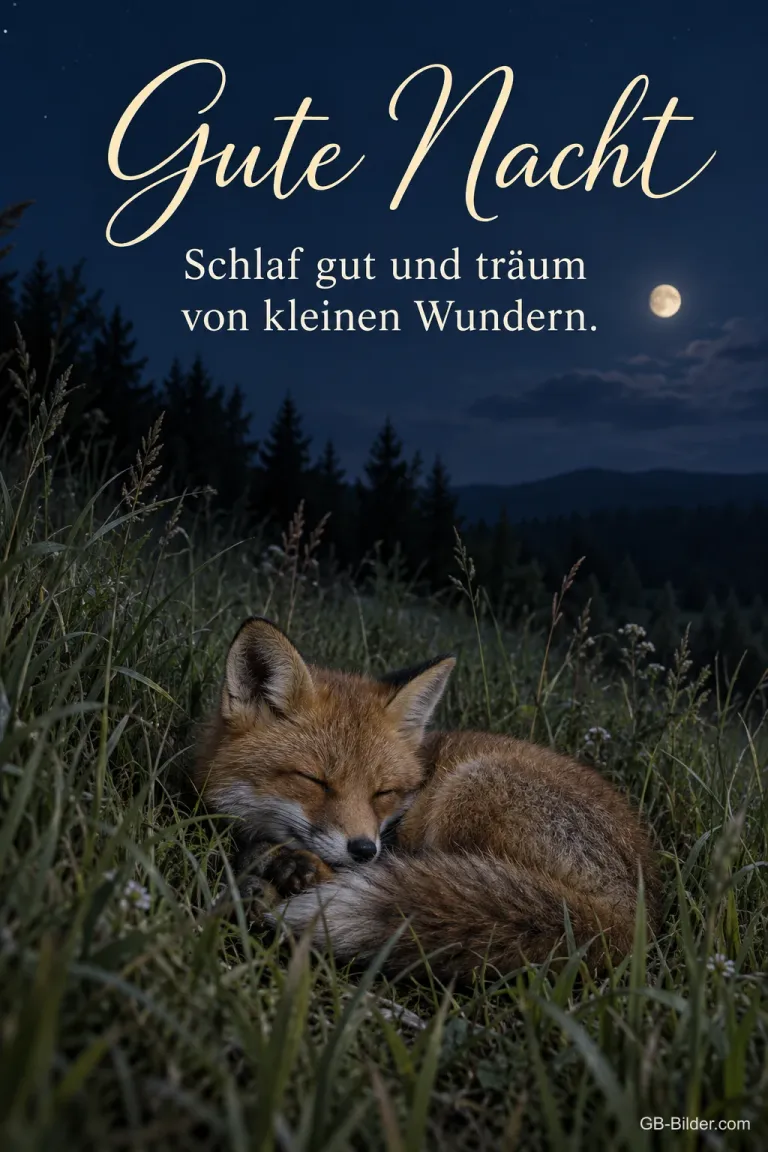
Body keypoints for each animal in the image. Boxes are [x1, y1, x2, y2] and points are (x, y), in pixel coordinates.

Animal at [195, 616, 658, 981]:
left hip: (467, 791)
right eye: (315, 781)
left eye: (383, 792)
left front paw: (275, 868)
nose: (363, 849)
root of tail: (630, 917)